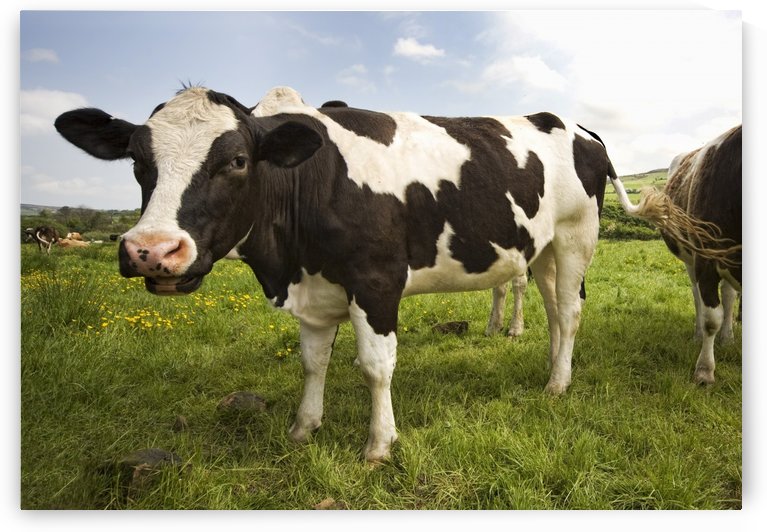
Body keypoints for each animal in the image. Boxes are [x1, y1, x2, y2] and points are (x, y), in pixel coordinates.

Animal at [54, 86, 725, 462]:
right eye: (137, 162)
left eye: (238, 160)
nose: (151, 250)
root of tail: (574, 124)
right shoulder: (315, 288)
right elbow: (313, 362)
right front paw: (303, 429)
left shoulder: (376, 281)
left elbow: (376, 366)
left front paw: (379, 446)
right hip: (536, 251)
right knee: (556, 312)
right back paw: (548, 369)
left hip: (575, 238)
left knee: (571, 309)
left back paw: (559, 384)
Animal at [659, 125, 742, 384]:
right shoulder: (706, 261)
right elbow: (711, 318)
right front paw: (705, 370)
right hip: (689, 257)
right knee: (697, 295)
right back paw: (698, 334)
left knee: (728, 296)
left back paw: (728, 337)